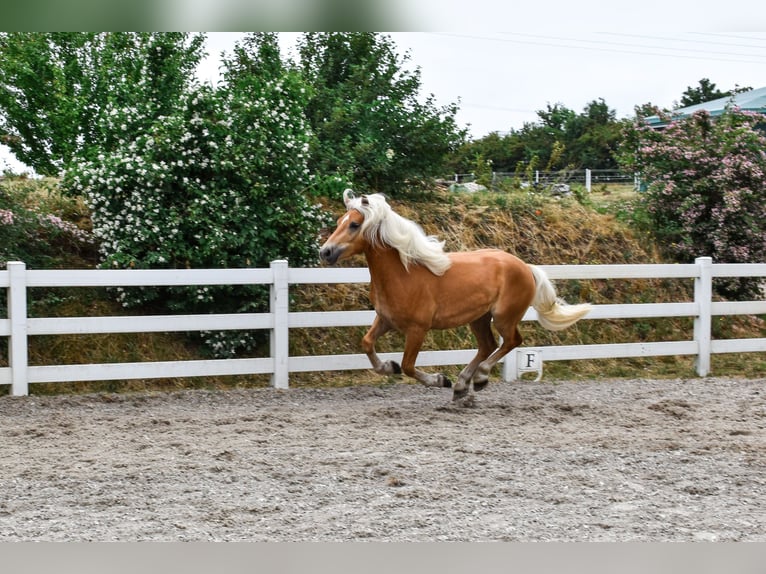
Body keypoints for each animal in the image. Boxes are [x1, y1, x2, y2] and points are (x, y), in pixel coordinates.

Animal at [318, 190, 592, 404]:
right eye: (339, 220)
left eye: (354, 224)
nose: (325, 252)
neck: (403, 274)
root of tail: (525, 266)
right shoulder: (385, 320)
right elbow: (367, 343)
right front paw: (389, 366)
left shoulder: (417, 330)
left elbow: (408, 365)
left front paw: (441, 380)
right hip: (479, 318)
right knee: (487, 345)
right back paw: (462, 386)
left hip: (503, 317)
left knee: (511, 341)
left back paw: (478, 378)